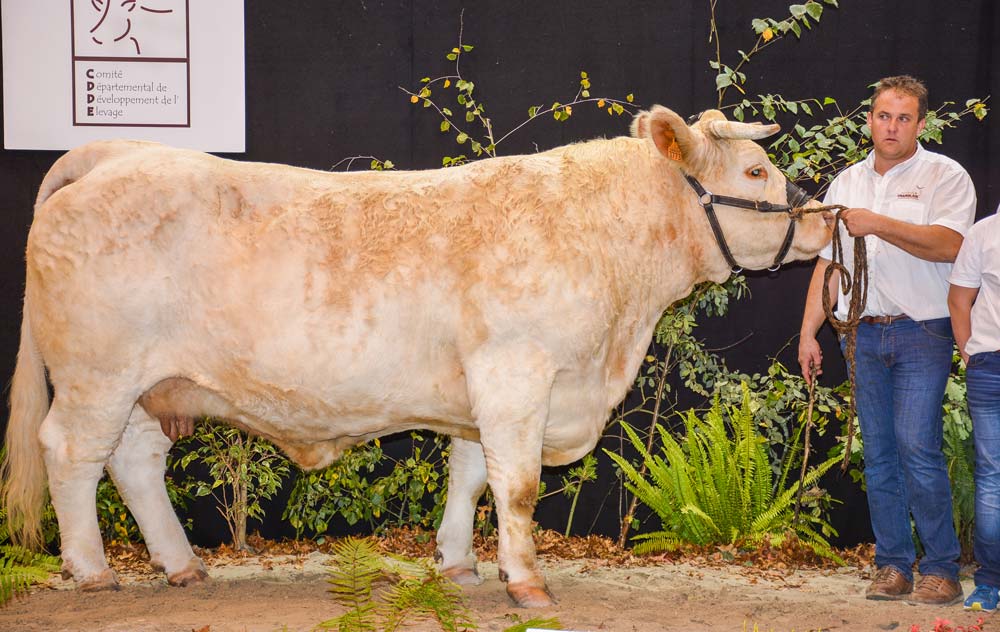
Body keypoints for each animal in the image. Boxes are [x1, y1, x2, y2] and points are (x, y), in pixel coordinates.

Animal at [2, 106, 831, 608]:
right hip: (97, 375)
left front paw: (460, 562)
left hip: (150, 383)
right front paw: (527, 584)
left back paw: (180, 563)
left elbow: (471, 476)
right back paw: (93, 570)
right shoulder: (517, 373)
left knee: (134, 462)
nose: (825, 219)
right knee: (70, 453)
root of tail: (118, 152)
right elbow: (517, 486)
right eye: (756, 172)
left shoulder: (483, 391)